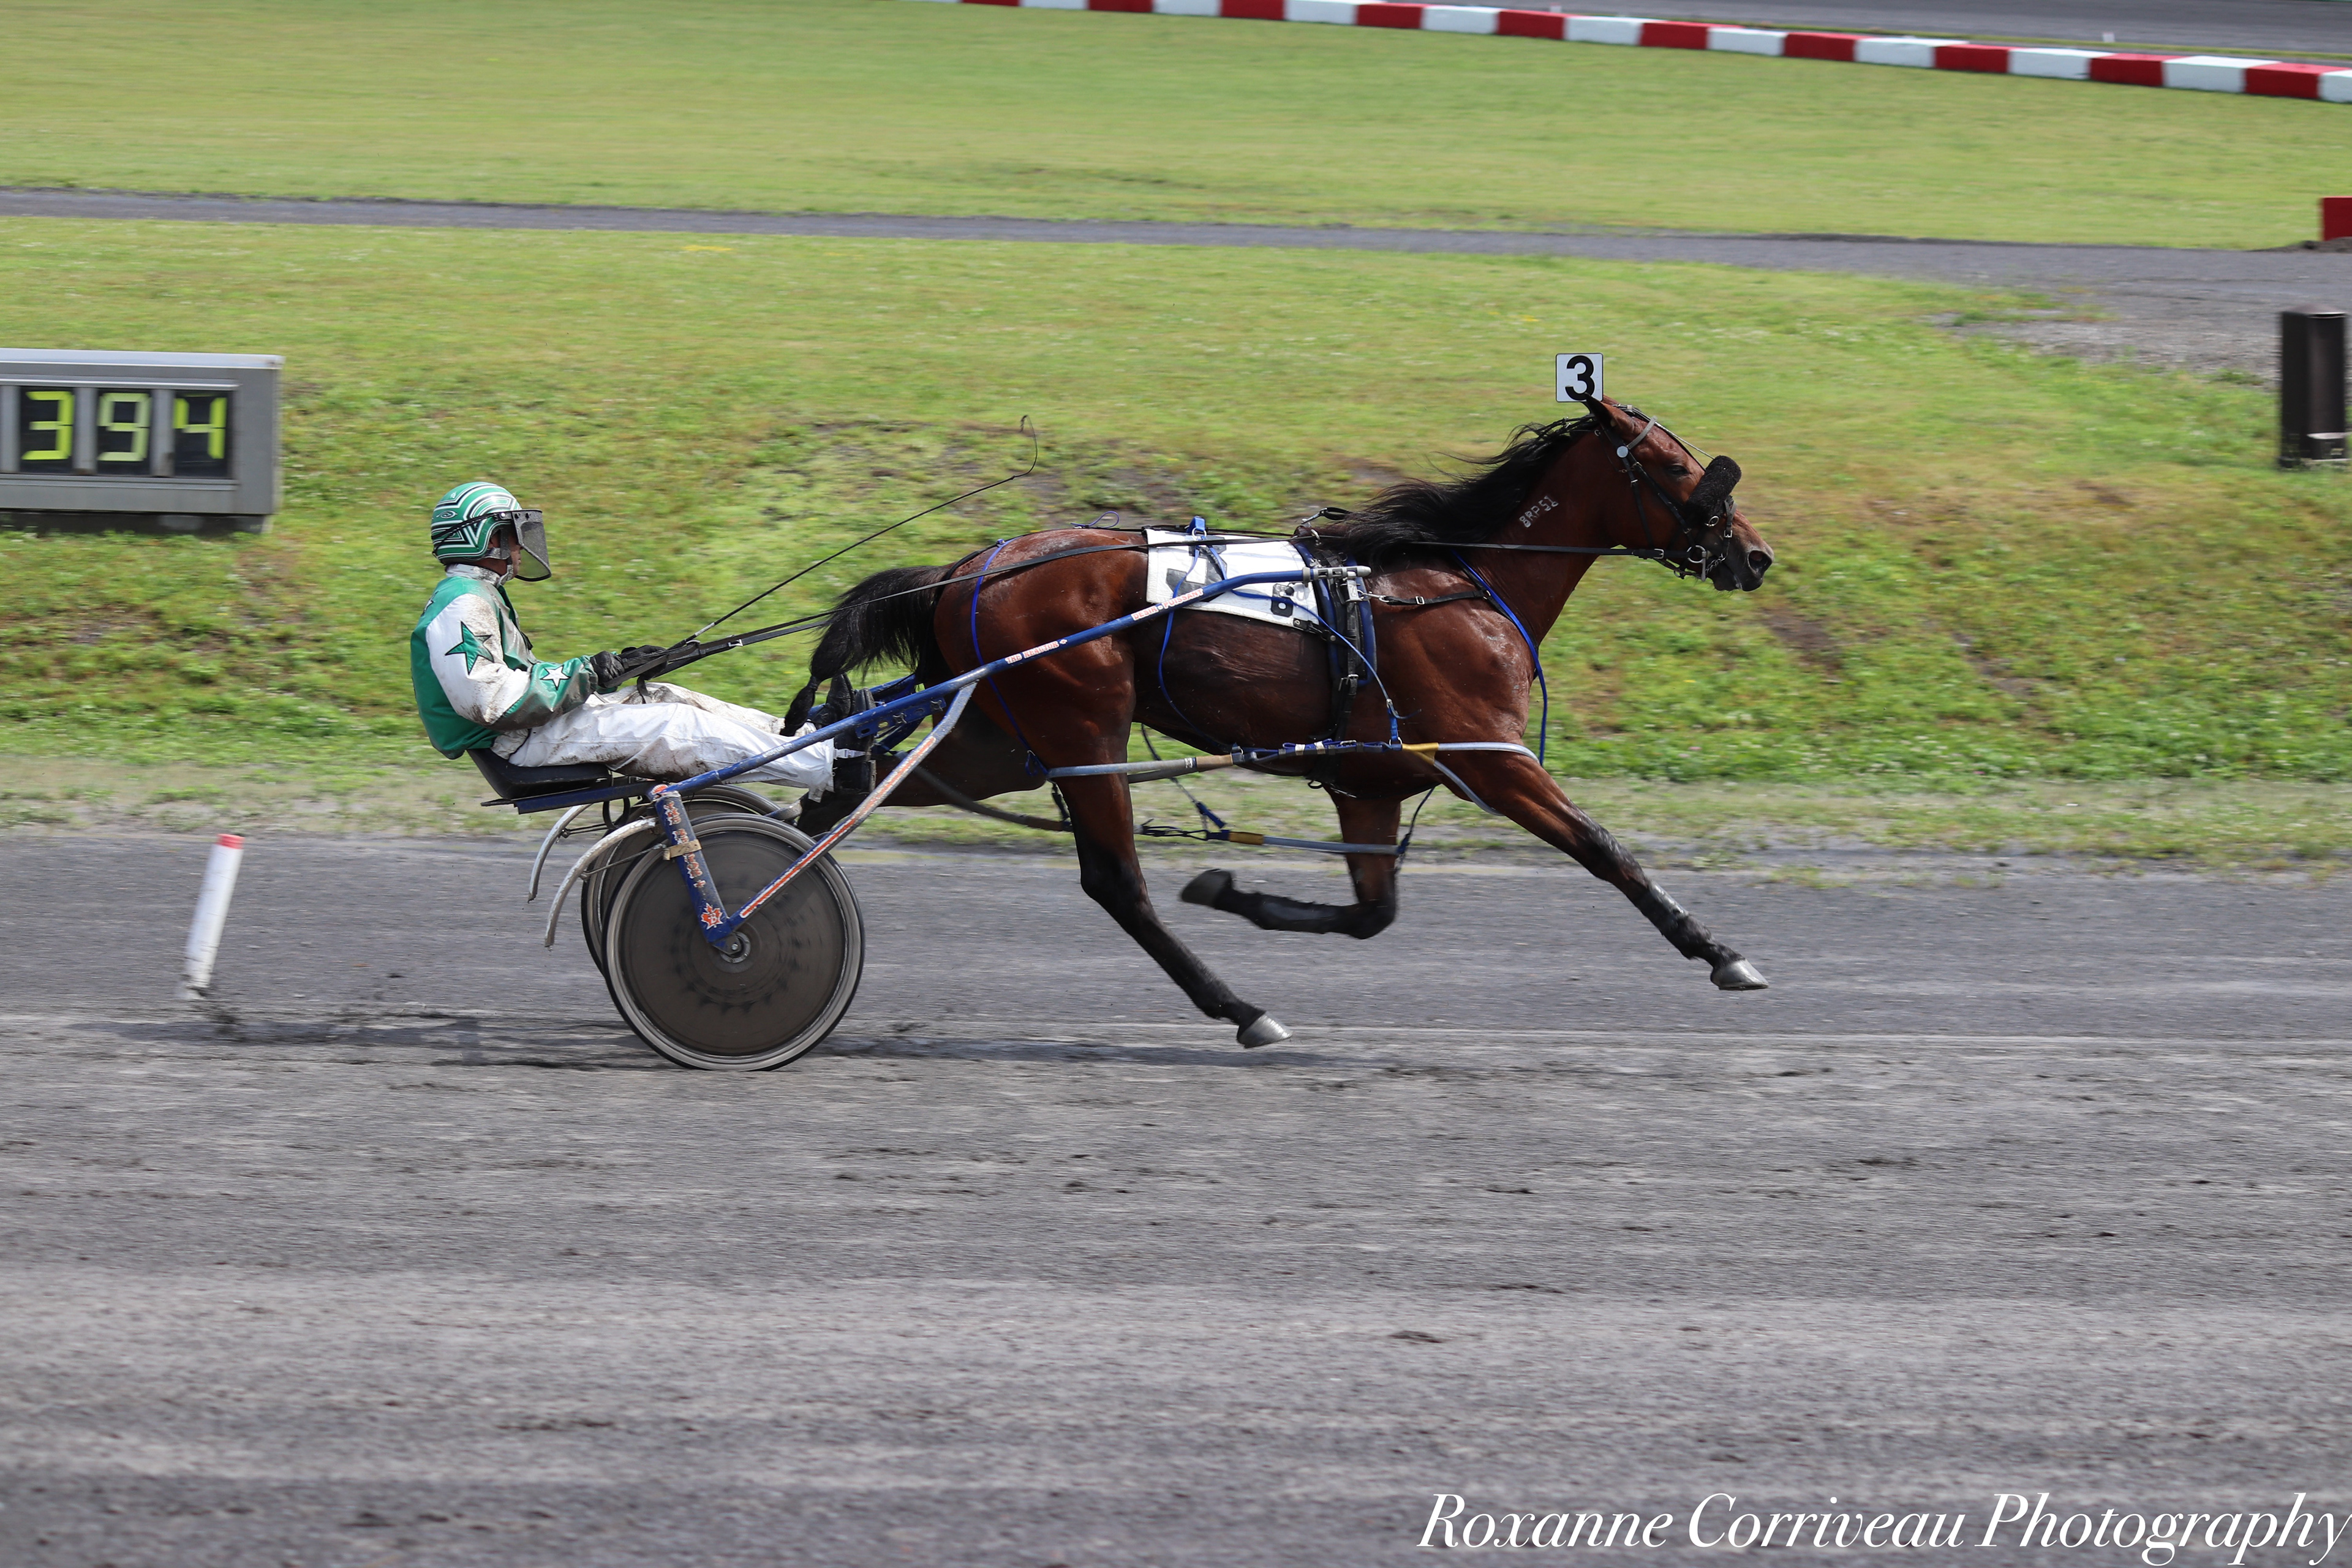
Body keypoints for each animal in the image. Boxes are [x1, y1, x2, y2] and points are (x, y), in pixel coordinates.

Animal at [784, 396, 1776, 1047]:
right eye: (1680, 469)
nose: (1755, 555)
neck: (1460, 585)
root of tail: (970, 568)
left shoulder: (1371, 783)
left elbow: (1372, 913)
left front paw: (1233, 891)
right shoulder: (1490, 755)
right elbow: (1606, 849)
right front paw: (1721, 952)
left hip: (1003, 738)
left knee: (858, 789)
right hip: (1083, 734)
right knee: (1116, 884)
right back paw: (1240, 1008)